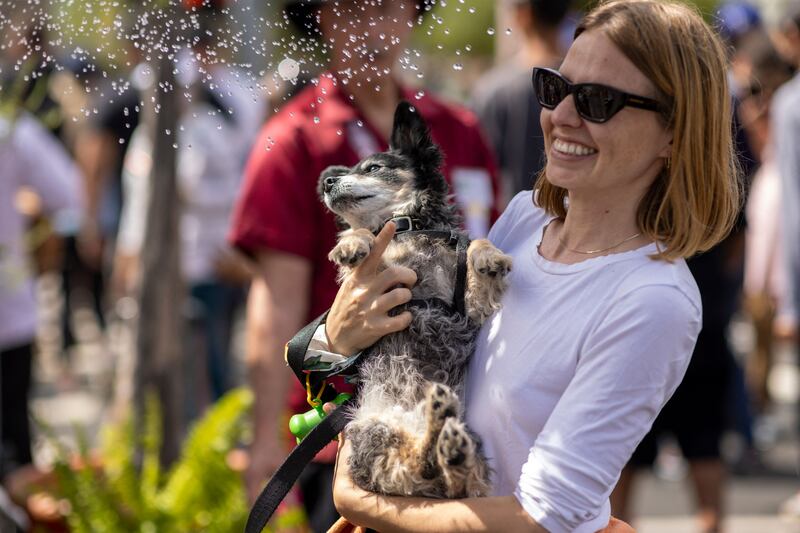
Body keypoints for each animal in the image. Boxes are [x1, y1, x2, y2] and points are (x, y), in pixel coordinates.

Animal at [318, 101, 512, 498]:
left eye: (373, 168)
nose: (326, 181)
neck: (408, 227)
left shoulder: (470, 306)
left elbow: (475, 246)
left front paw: (489, 256)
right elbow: (364, 237)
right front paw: (352, 242)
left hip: (462, 449)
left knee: (450, 480)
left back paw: (447, 441)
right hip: (371, 433)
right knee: (421, 465)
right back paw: (439, 431)